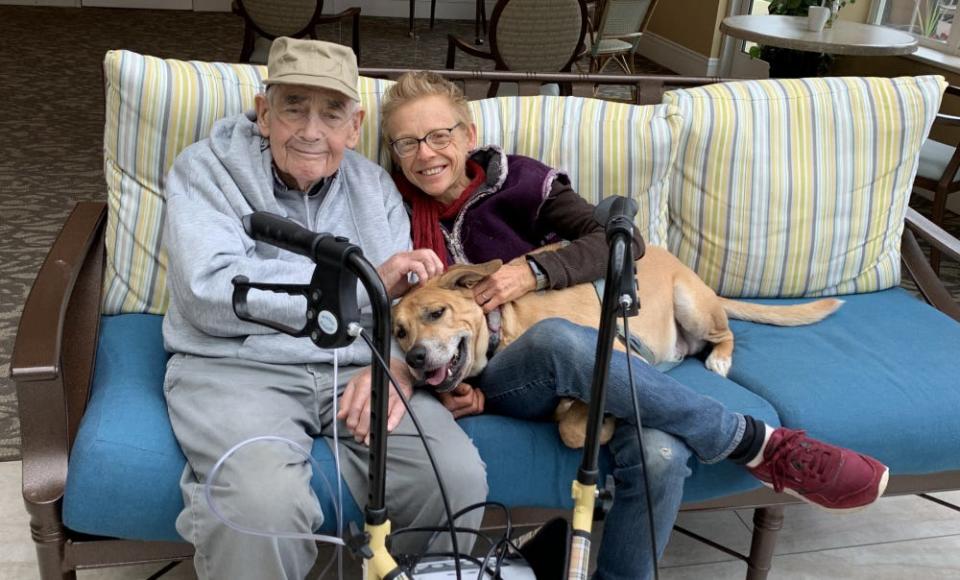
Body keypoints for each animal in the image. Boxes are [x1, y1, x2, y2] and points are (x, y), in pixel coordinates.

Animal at [390, 247, 840, 446]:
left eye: (436, 313)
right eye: (399, 332)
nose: (414, 359)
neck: (504, 321)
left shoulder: (622, 355)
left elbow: (574, 429)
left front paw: (600, 422)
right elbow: (570, 423)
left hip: (691, 305)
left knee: (725, 334)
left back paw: (720, 360)